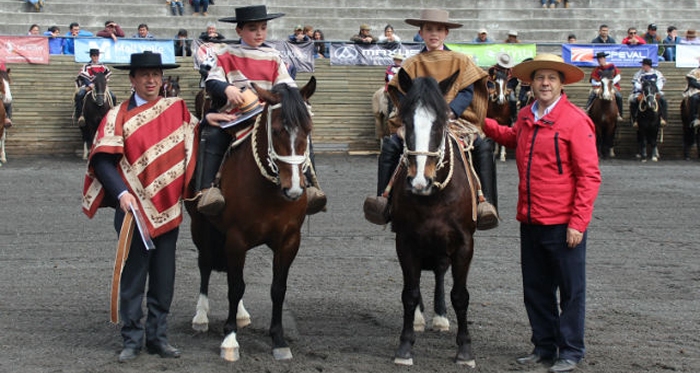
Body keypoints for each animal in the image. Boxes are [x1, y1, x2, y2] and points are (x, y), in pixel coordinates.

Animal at [186, 77, 318, 360]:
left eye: (308, 129)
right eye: (277, 131)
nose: (294, 189)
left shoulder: (289, 240)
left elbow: (277, 288)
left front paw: (279, 340)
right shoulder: (236, 238)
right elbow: (235, 286)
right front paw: (229, 339)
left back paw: (241, 314)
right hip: (200, 226)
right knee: (205, 264)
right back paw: (201, 316)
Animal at [386, 67, 478, 366]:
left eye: (439, 123)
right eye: (406, 122)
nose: (419, 182)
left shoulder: (464, 243)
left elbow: (460, 295)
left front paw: (465, 350)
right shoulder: (405, 241)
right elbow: (410, 292)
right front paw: (405, 346)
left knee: (439, 271)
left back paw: (440, 316)